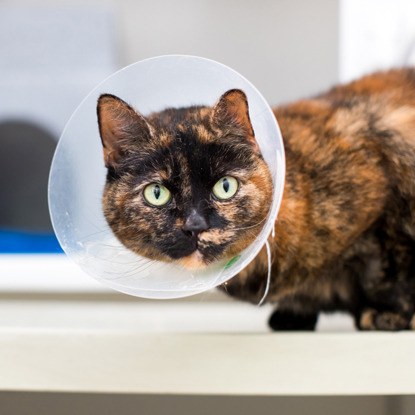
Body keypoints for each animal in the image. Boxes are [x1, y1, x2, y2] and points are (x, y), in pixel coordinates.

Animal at [97, 70, 415, 334]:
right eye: (157, 193)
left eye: (225, 186)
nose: (195, 226)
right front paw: (294, 315)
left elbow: (393, 268)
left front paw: (390, 315)